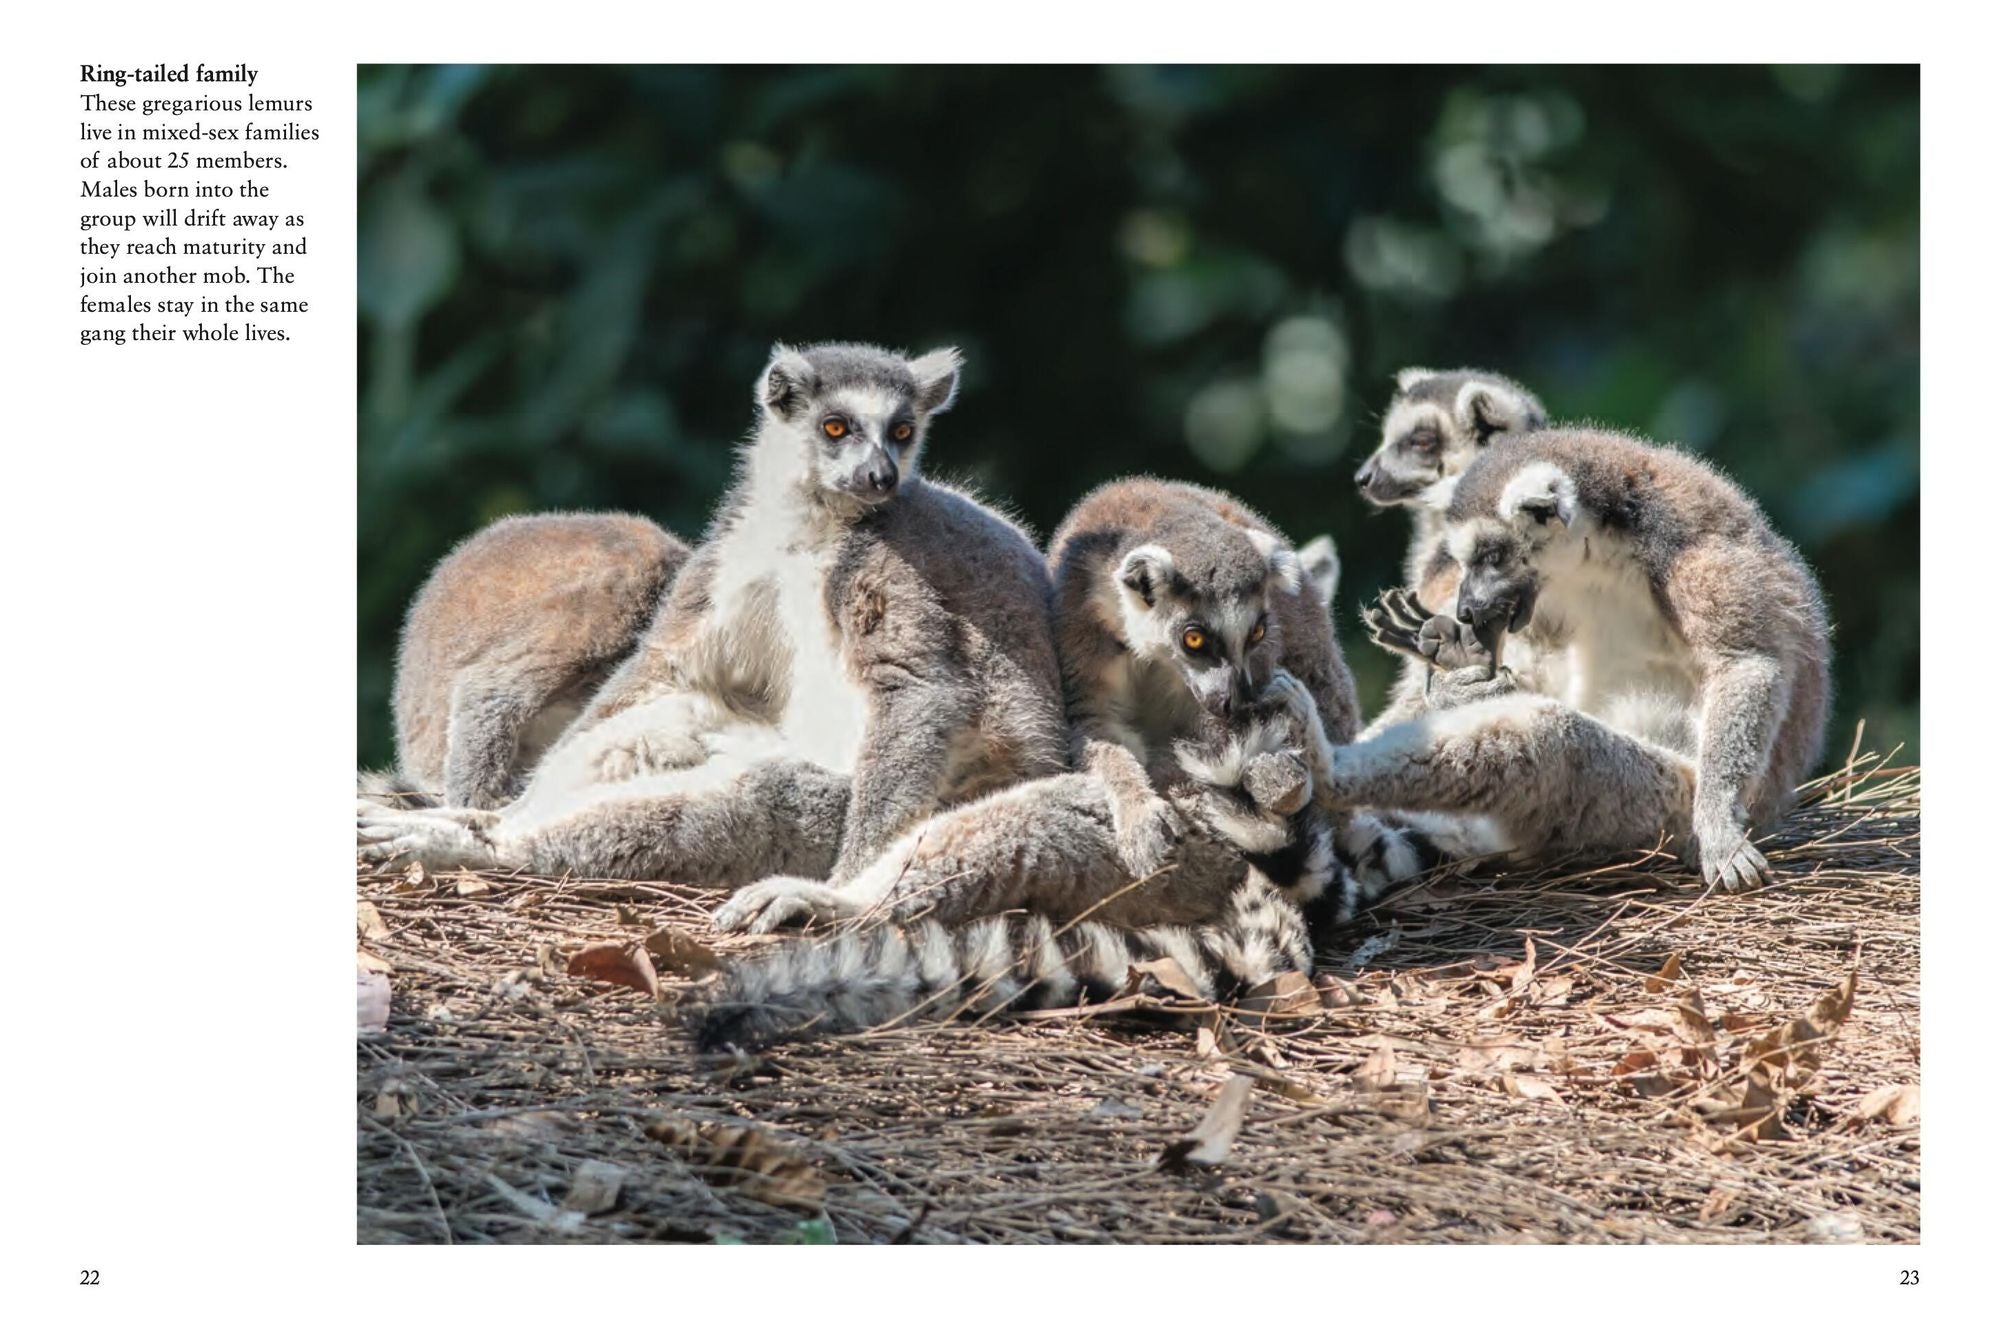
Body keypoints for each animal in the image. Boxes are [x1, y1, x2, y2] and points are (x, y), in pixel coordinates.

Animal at [1298, 427, 1830, 892]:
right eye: (1467, 561)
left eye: (1492, 556)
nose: (1467, 610)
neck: (1601, 555)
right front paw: (1462, 674)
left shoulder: (1695, 550)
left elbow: (1745, 661)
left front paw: (1719, 823)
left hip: (1655, 805)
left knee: (1550, 740)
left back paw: (1326, 768)